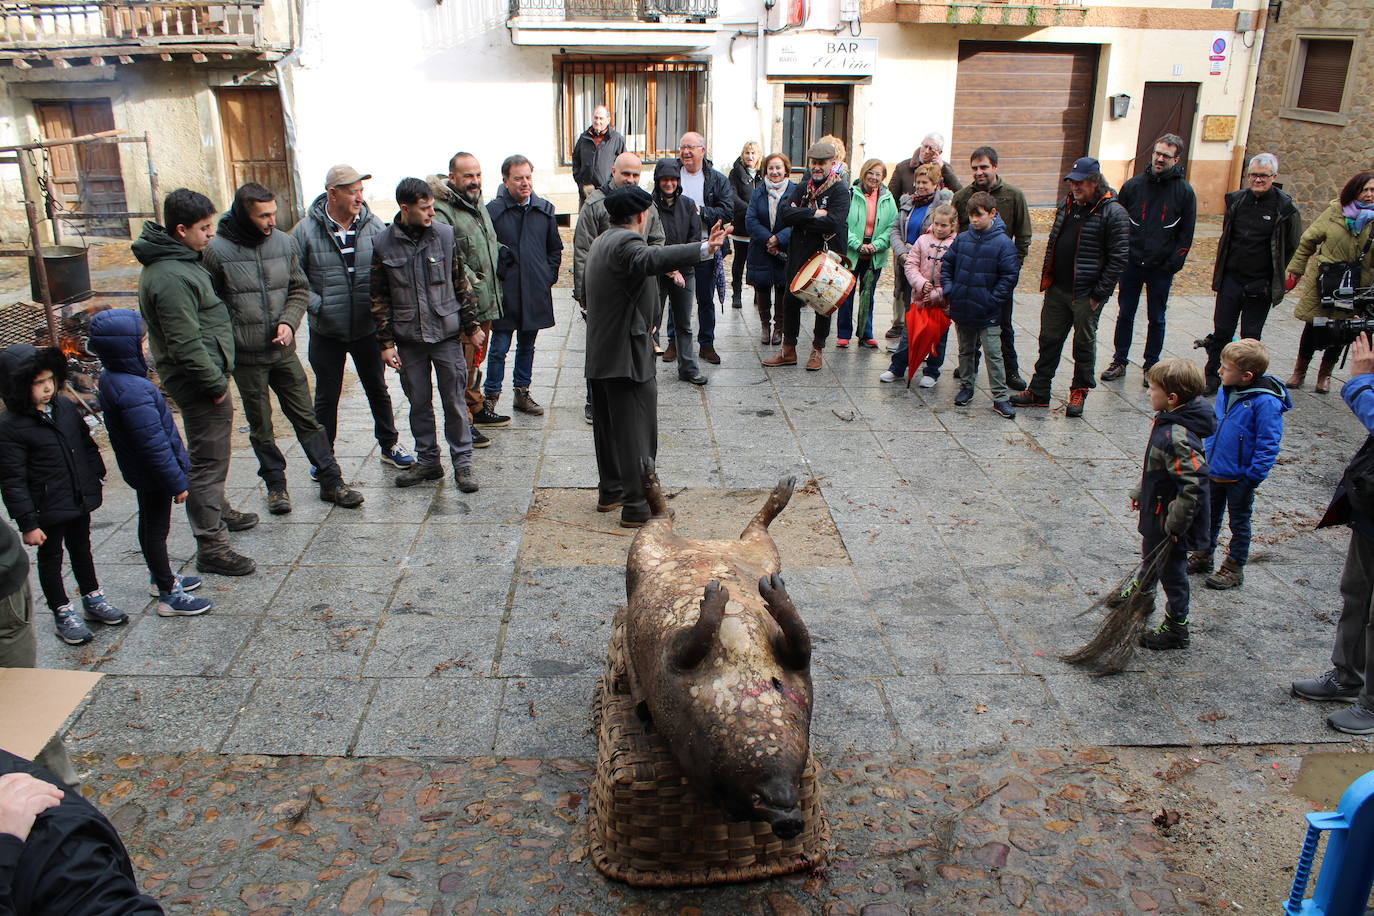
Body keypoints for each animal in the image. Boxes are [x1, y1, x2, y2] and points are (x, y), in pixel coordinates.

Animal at [626, 461, 813, 840]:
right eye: (754, 800)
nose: (789, 822)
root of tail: (704, 541)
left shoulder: (797, 665)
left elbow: (801, 640)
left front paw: (762, 592)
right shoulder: (673, 656)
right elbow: (699, 635)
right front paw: (715, 595)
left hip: (764, 553)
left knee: (752, 529)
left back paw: (784, 489)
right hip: (643, 548)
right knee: (659, 517)